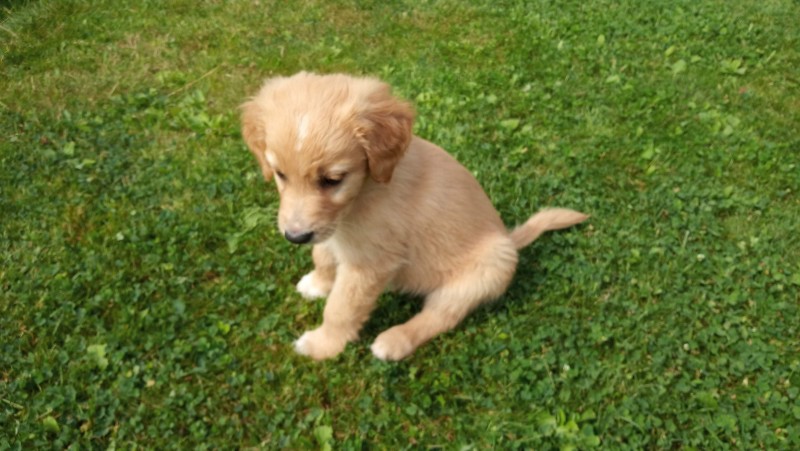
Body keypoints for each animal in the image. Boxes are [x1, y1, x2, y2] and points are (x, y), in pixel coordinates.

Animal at [240, 72, 588, 361]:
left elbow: (341, 307)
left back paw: (394, 341)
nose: (294, 237)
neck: (365, 191)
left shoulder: (370, 263)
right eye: (280, 174)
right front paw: (318, 283)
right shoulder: (329, 228)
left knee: (440, 317)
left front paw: (322, 345)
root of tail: (509, 239)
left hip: (487, 269)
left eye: (332, 180)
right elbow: (323, 255)